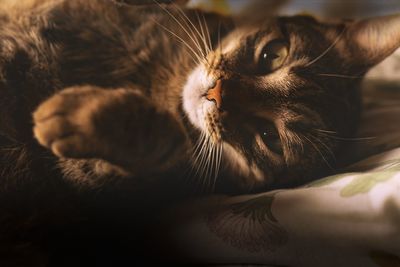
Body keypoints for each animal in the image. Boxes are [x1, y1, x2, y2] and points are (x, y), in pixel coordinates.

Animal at [0, 0, 400, 266]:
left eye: (269, 137)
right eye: (273, 54)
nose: (217, 94)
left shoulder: (90, 188)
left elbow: (161, 141)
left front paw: (87, 114)